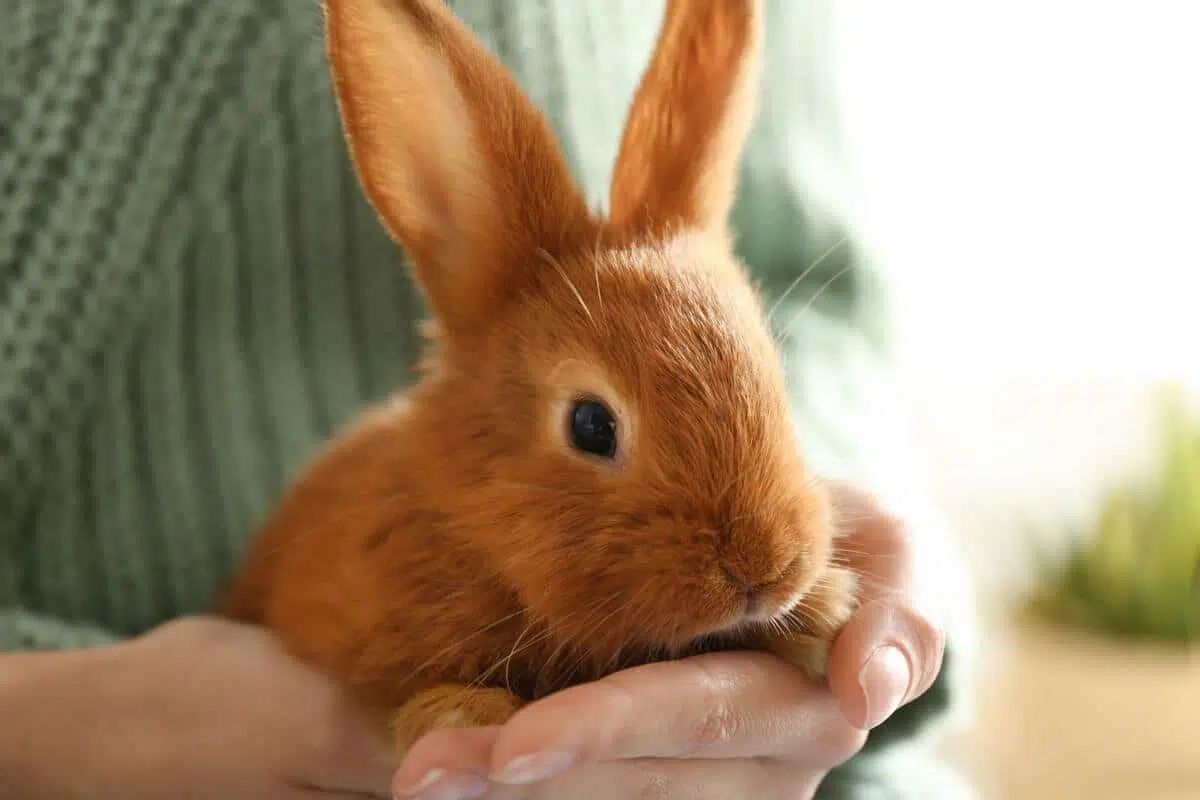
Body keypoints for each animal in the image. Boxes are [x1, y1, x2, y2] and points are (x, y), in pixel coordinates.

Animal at [223, 0, 864, 758]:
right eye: (591, 424)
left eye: (774, 378)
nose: (762, 570)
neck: (470, 519)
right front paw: (460, 714)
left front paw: (823, 612)